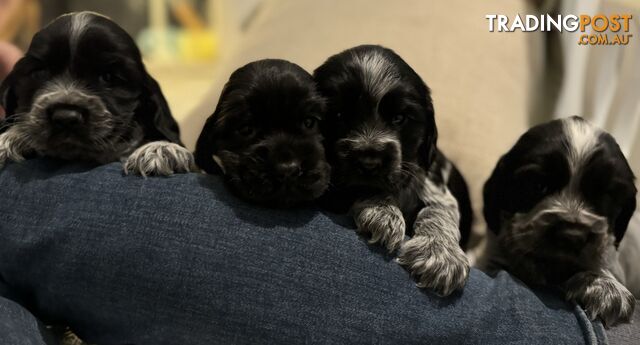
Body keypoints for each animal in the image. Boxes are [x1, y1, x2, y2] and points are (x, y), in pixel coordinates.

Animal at [316, 44, 476, 294]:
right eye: (339, 115)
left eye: (399, 118)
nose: (369, 162)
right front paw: (382, 213)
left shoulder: (434, 179)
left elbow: (439, 209)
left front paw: (440, 255)